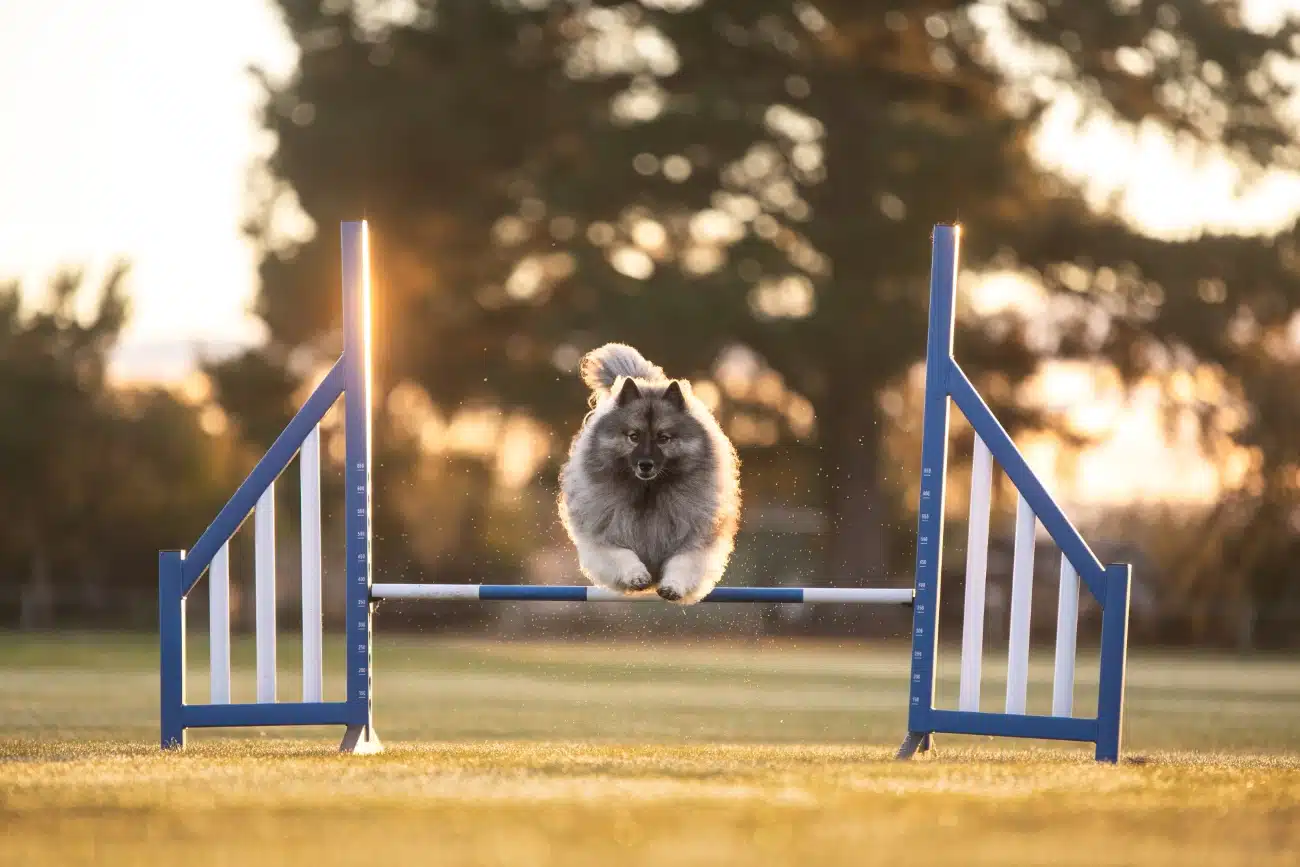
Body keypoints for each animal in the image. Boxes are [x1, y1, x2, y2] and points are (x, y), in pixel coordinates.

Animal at [559, 340, 743, 603]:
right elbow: (622, 555)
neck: (649, 491)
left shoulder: (694, 540)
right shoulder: (605, 537)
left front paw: (673, 586)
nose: (645, 464)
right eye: (633, 436)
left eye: (663, 438)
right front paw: (636, 575)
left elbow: (682, 564)